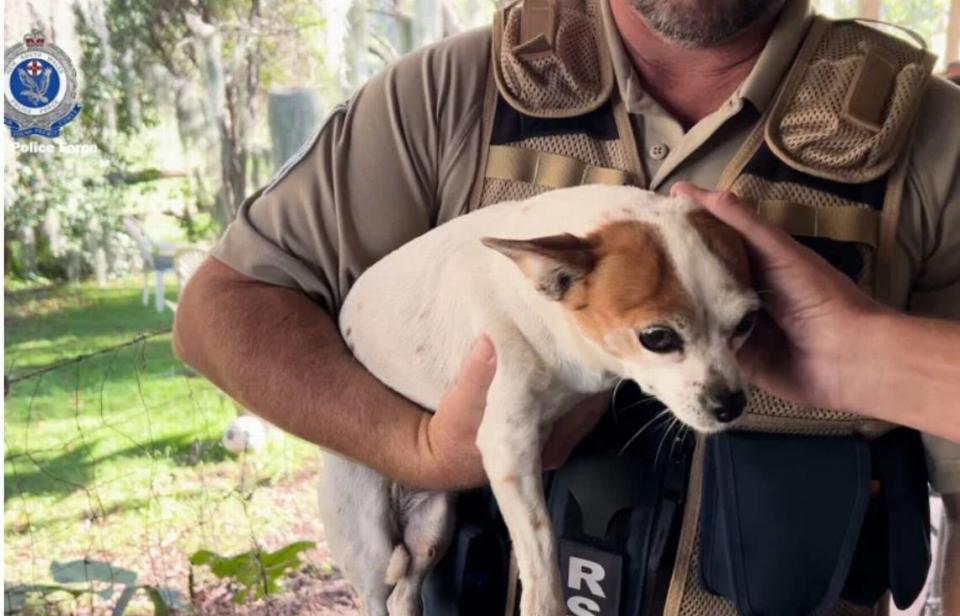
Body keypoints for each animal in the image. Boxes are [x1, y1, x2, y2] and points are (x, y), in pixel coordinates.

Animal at [318, 185, 760, 612]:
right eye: (657, 337)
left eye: (747, 323)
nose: (731, 405)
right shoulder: (509, 445)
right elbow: (540, 542)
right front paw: (546, 602)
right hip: (371, 544)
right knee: (379, 594)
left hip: (433, 530)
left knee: (405, 592)